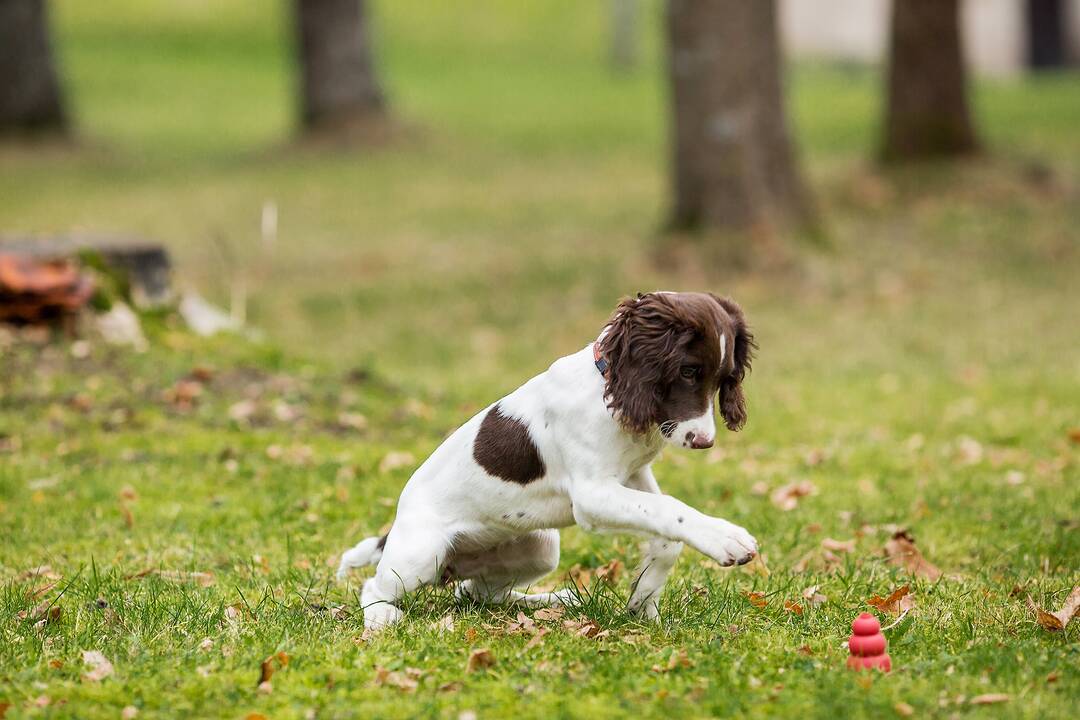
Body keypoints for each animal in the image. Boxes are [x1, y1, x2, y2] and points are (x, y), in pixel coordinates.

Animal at [339, 289, 760, 626]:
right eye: (688, 371)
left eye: (725, 378)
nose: (703, 441)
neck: (610, 388)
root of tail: (395, 526)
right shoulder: (592, 496)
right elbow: (669, 508)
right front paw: (726, 538)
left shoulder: (631, 475)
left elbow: (665, 530)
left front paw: (644, 601)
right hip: (420, 556)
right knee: (374, 585)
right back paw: (382, 616)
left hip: (540, 548)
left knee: (475, 593)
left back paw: (558, 599)